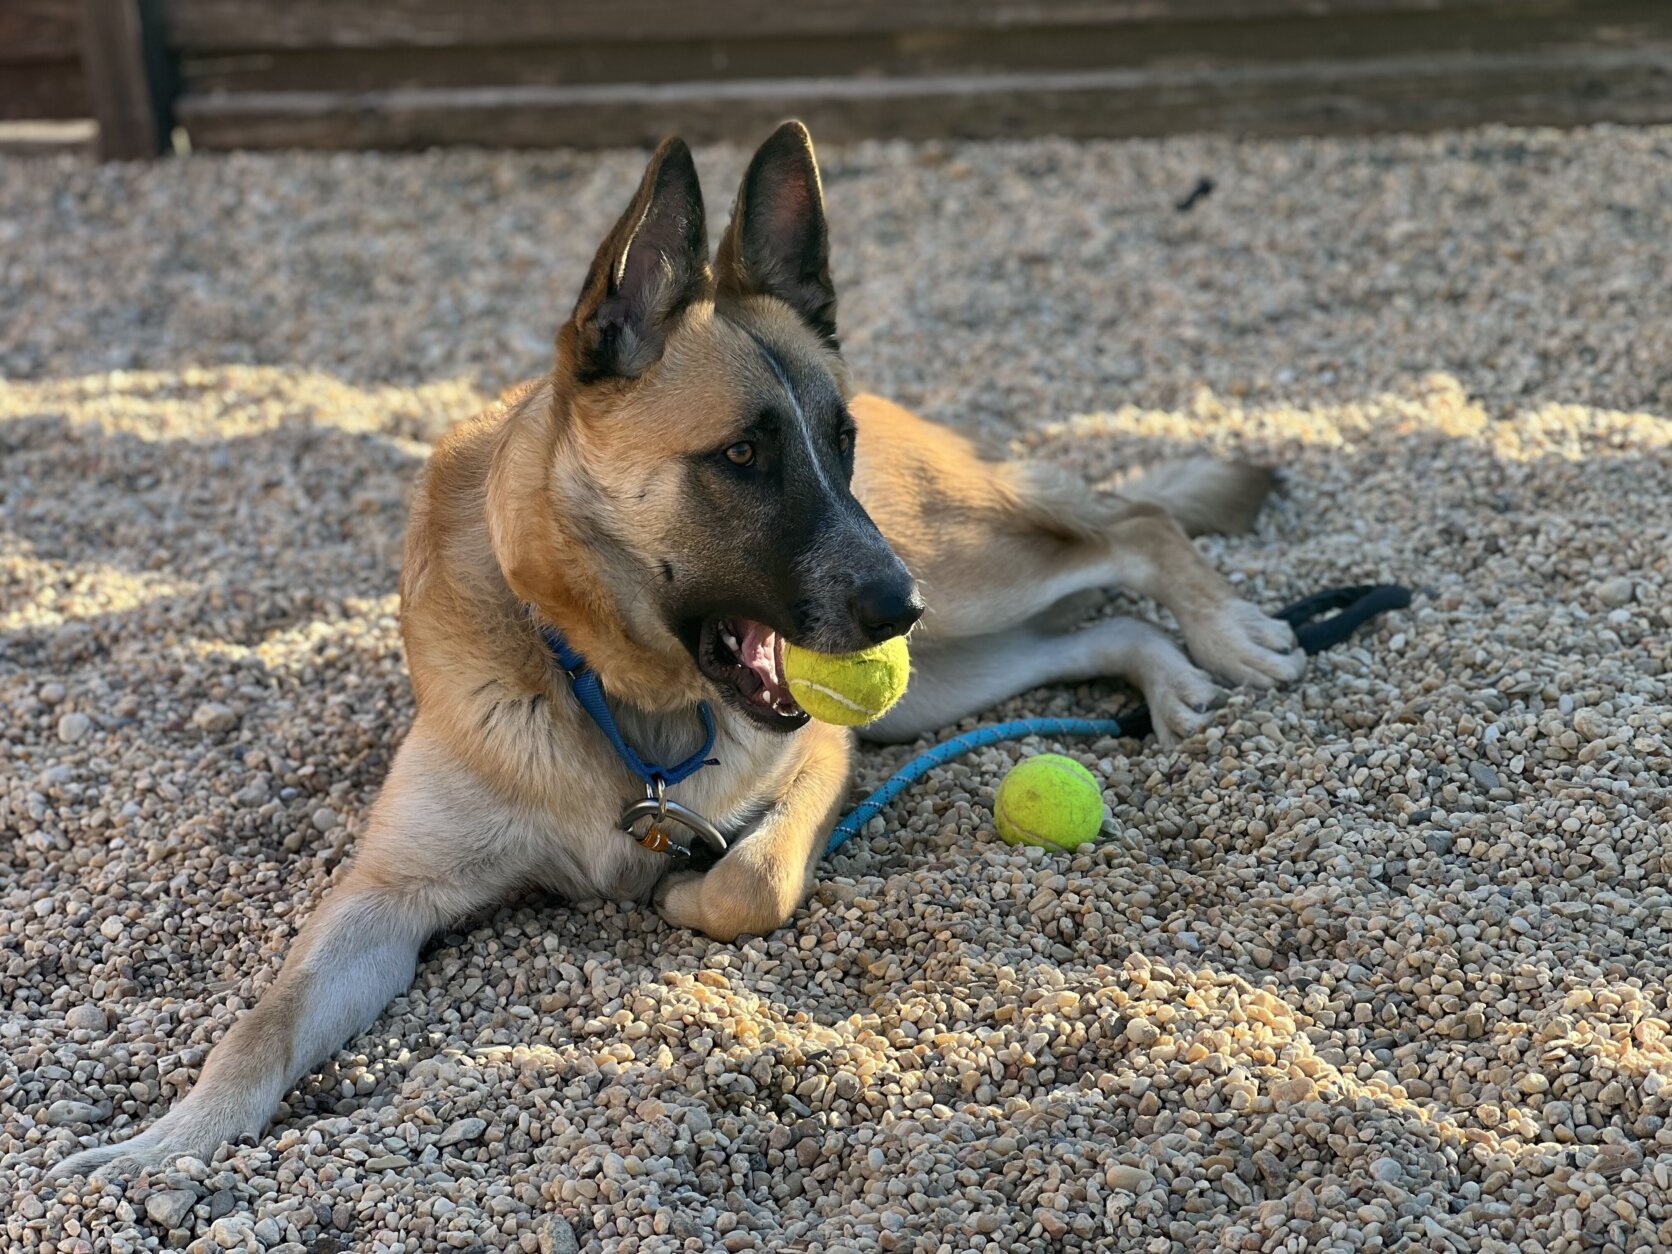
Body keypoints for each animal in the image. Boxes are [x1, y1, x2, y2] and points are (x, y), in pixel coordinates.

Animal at [53, 121, 1303, 1179]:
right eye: (744, 455)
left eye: (835, 443)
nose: (892, 606)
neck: (615, 687)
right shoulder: (381, 898)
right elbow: (262, 1024)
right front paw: (172, 1140)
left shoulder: (817, 763)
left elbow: (746, 883)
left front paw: (682, 893)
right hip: (936, 674)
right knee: (1098, 616)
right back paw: (1168, 673)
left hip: (958, 582)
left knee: (1133, 526)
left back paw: (1224, 631)